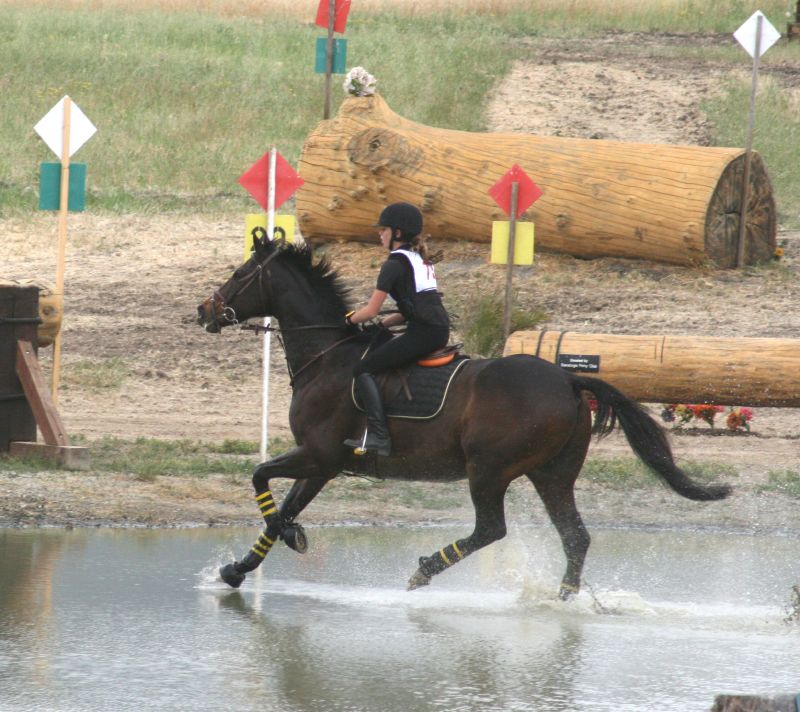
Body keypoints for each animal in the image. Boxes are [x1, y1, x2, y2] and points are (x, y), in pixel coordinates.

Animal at [195, 236, 732, 596]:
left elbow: (261, 479)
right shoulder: (324, 465)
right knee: (575, 536)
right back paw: (564, 599)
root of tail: (568, 380)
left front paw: (289, 538)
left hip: (488, 469)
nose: (204, 311)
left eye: (240, 274)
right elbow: (280, 510)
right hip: (552, 473)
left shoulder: (318, 454)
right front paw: (238, 569)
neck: (327, 355)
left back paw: (425, 570)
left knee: (492, 530)